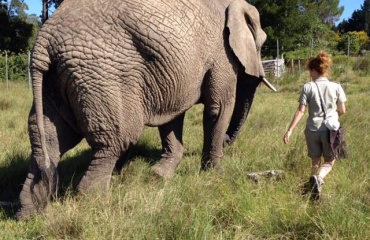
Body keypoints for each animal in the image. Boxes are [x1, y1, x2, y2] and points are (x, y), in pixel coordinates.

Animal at [16, 0, 274, 219]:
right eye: (261, 43)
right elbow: (218, 108)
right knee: (115, 141)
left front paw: (159, 176)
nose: (228, 141)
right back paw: (96, 206)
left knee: (48, 143)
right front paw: (215, 175)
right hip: (100, 76)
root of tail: (43, 41)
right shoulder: (221, 53)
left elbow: (172, 116)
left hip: (55, 80)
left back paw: (28, 214)